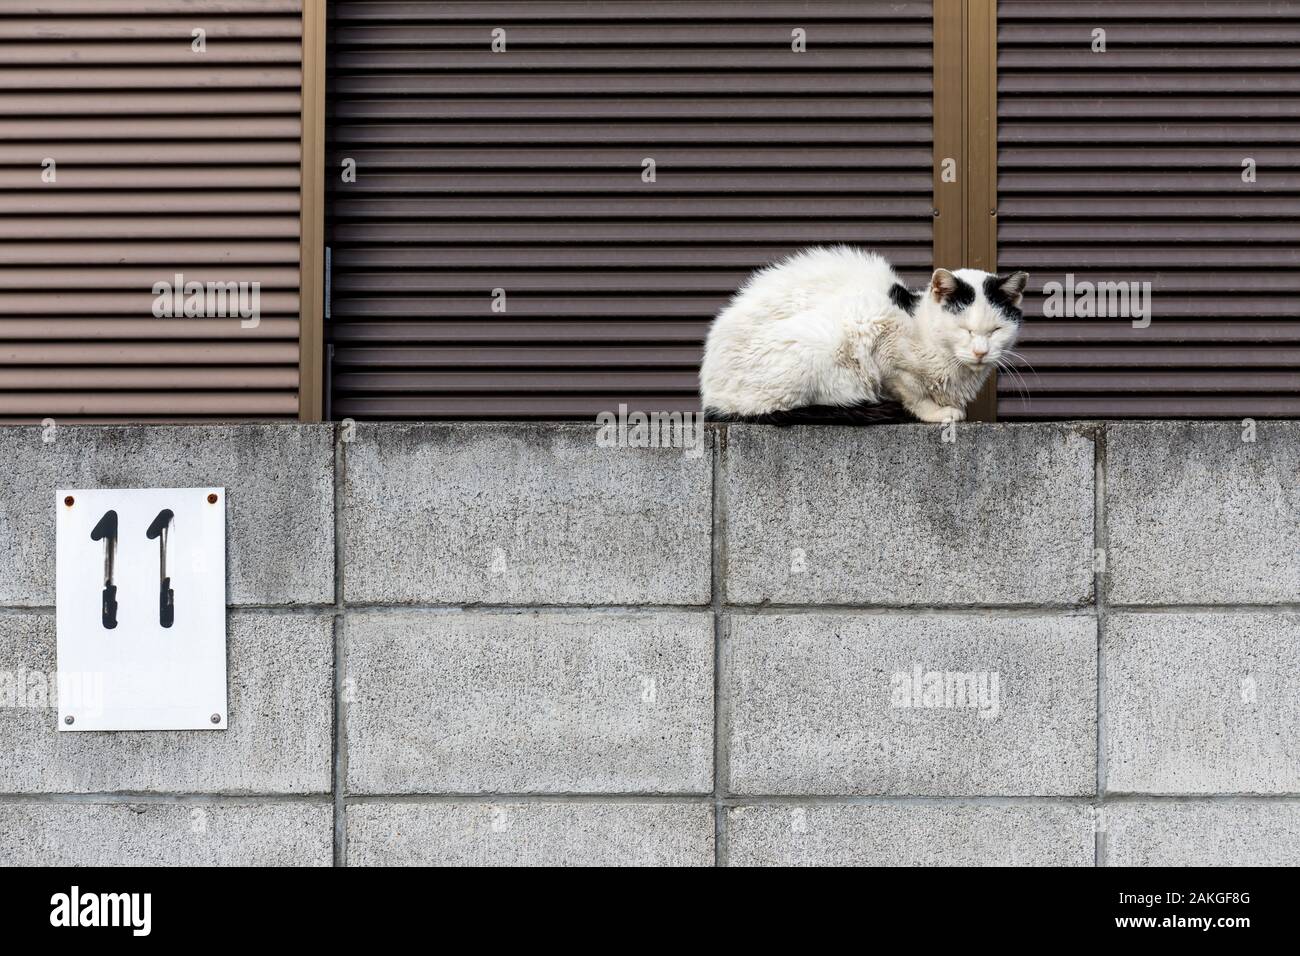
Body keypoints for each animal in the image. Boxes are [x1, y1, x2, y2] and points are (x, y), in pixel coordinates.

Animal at [702, 248, 1024, 424]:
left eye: (995, 330)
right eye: (964, 329)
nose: (981, 352)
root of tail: (711, 398)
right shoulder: (881, 341)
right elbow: (912, 391)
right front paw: (937, 412)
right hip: (820, 342)